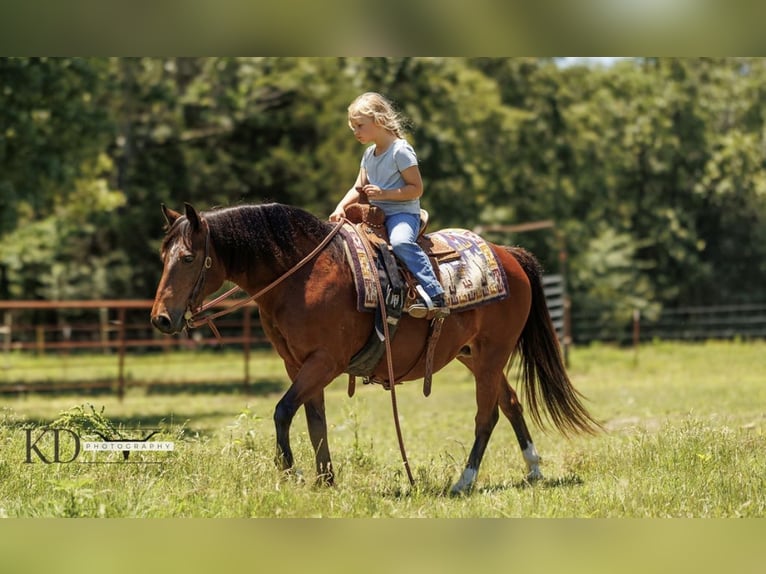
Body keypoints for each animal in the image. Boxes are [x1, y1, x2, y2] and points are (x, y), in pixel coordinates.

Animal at [150, 202, 601, 494]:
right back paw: (534, 471)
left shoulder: (325, 361)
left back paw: (464, 481)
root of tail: (509, 255)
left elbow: (282, 411)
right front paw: (325, 481)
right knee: (510, 404)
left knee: (486, 415)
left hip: (491, 356)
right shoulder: (297, 364)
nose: (161, 319)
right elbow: (315, 421)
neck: (302, 275)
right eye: (162, 254)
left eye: (188, 257)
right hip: (474, 357)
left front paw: (291, 475)